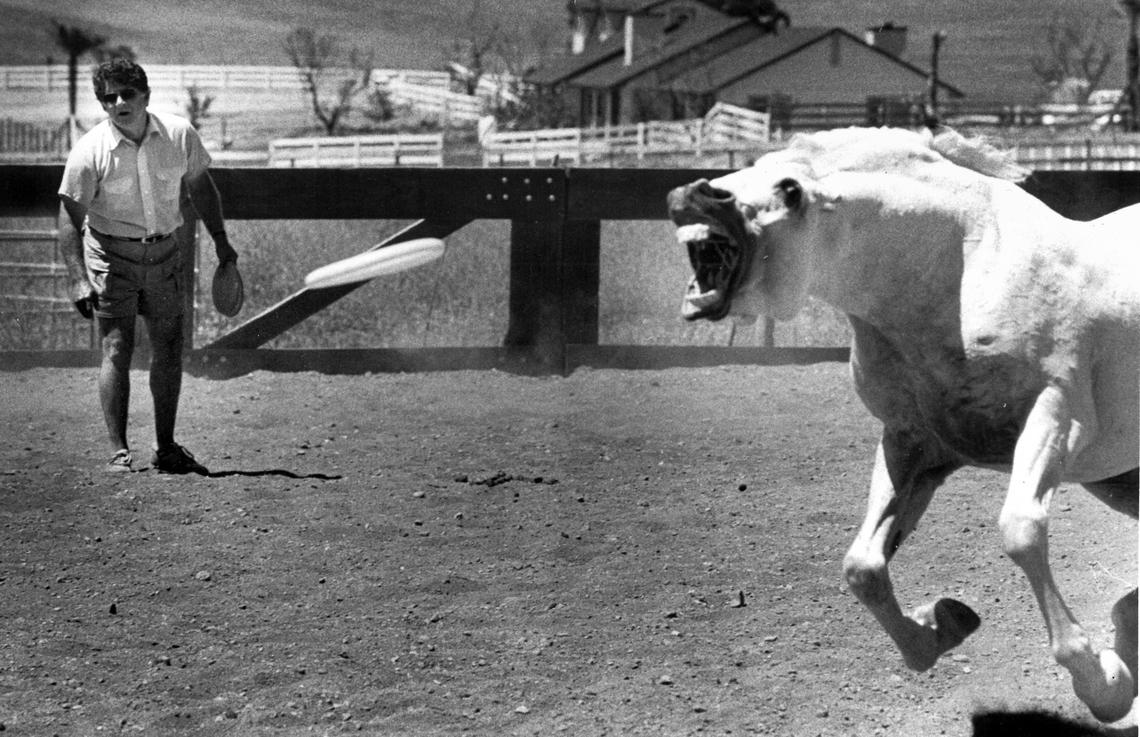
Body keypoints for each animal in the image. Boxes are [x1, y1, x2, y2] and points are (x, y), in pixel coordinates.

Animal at [666, 126, 1139, 722]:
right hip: (1117, 481)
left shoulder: (1059, 416)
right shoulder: (913, 443)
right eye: (754, 163)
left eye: (791, 190)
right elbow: (864, 566)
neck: (958, 273)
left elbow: (1021, 532)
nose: (695, 195)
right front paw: (940, 625)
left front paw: (1103, 681)